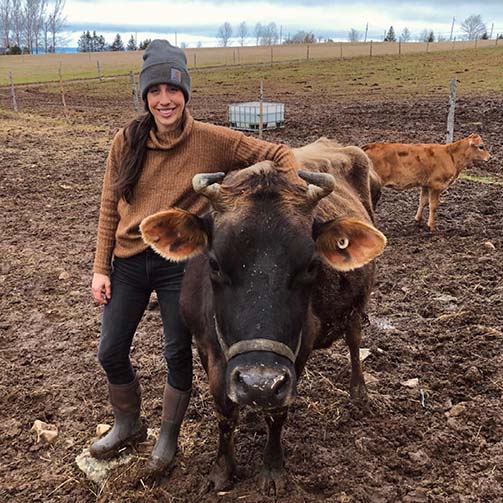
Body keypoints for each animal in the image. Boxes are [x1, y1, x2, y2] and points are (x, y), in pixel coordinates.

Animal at [140, 138, 388, 496]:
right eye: (214, 263)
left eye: (311, 265)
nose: (259, 383)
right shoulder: (206, 348)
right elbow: (224, 410)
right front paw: (222, 470)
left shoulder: (298, 351)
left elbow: (277, 412)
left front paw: (272, 469)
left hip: (358, 301)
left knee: (354, 339)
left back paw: (359, 392)